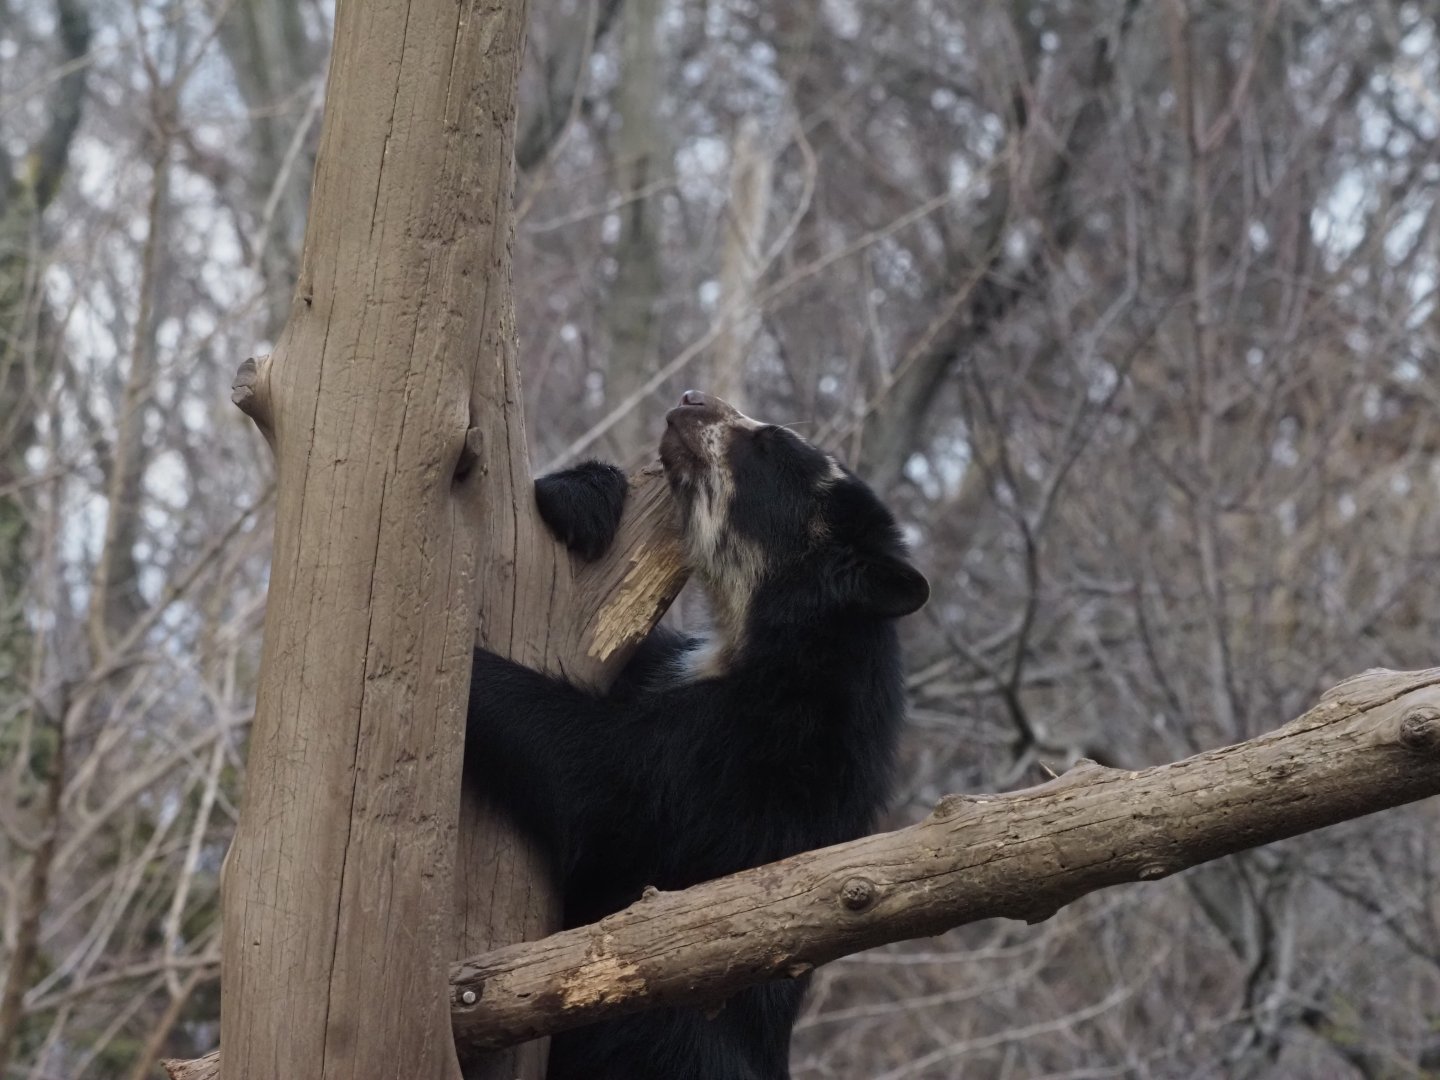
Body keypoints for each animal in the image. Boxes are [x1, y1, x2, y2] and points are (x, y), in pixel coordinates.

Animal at [465, 390, 928, 1079]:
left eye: (769, 444)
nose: (690, 399)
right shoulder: (674, 669)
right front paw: (583, 496)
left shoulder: (750, 759)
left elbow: (601, 778)